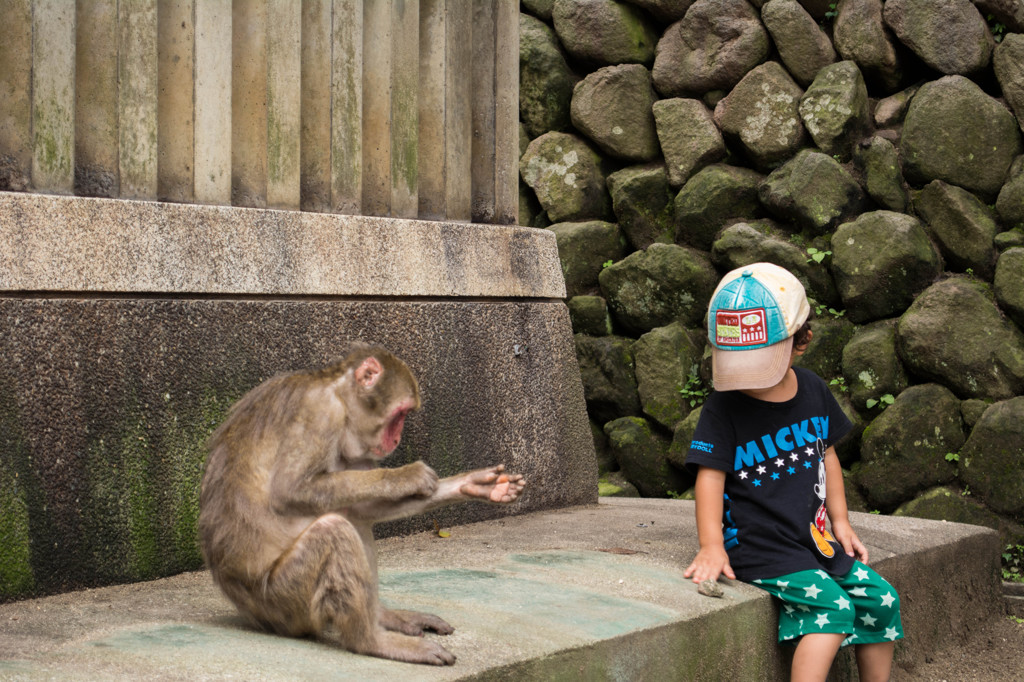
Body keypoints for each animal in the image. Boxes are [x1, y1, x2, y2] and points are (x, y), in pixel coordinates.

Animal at [197, 342, 528, 659]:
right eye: (400, 414)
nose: (396, 439)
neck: (337, 393)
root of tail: (254, 616)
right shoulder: (320, 411)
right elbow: (290, 489)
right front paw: (408, 475)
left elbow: (362, 508)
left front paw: (474, 485)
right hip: (284, 601)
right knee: (334, 528)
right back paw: (371, 640)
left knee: (352, 515)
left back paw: (383, 617)